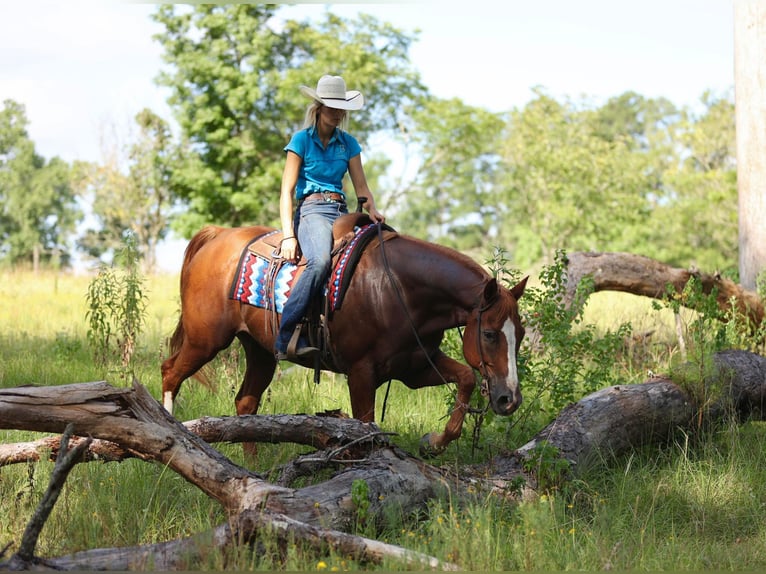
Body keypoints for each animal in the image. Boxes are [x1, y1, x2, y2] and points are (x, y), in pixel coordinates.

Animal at [158, 223, 524, 456]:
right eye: (489, 334)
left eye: (519, 335)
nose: (509, 400)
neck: (397, 288)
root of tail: (217, 235)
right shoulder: (362, 374)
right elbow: (366, 426)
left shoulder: (415, 367)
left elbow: (466, 377)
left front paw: (434, 442)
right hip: (206, 339)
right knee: (170, 373)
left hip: (259, 350)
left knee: (246, 403)